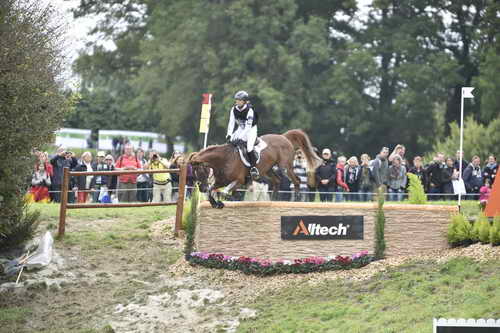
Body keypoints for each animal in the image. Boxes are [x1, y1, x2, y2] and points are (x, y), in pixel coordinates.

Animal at [187, 127, 320, 208]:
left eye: (201, 171)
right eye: (194, 172)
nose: (201, 188)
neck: (224, 160)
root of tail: (284, 137)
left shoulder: (239, 181)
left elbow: (224, 192)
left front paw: (223, 200)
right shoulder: (220, 182)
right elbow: (212, 190)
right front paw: (215, 203)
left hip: (284, 167)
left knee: (296, 180)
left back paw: (296, 200)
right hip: (267, 170)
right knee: (277, 180)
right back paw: (273, 200)